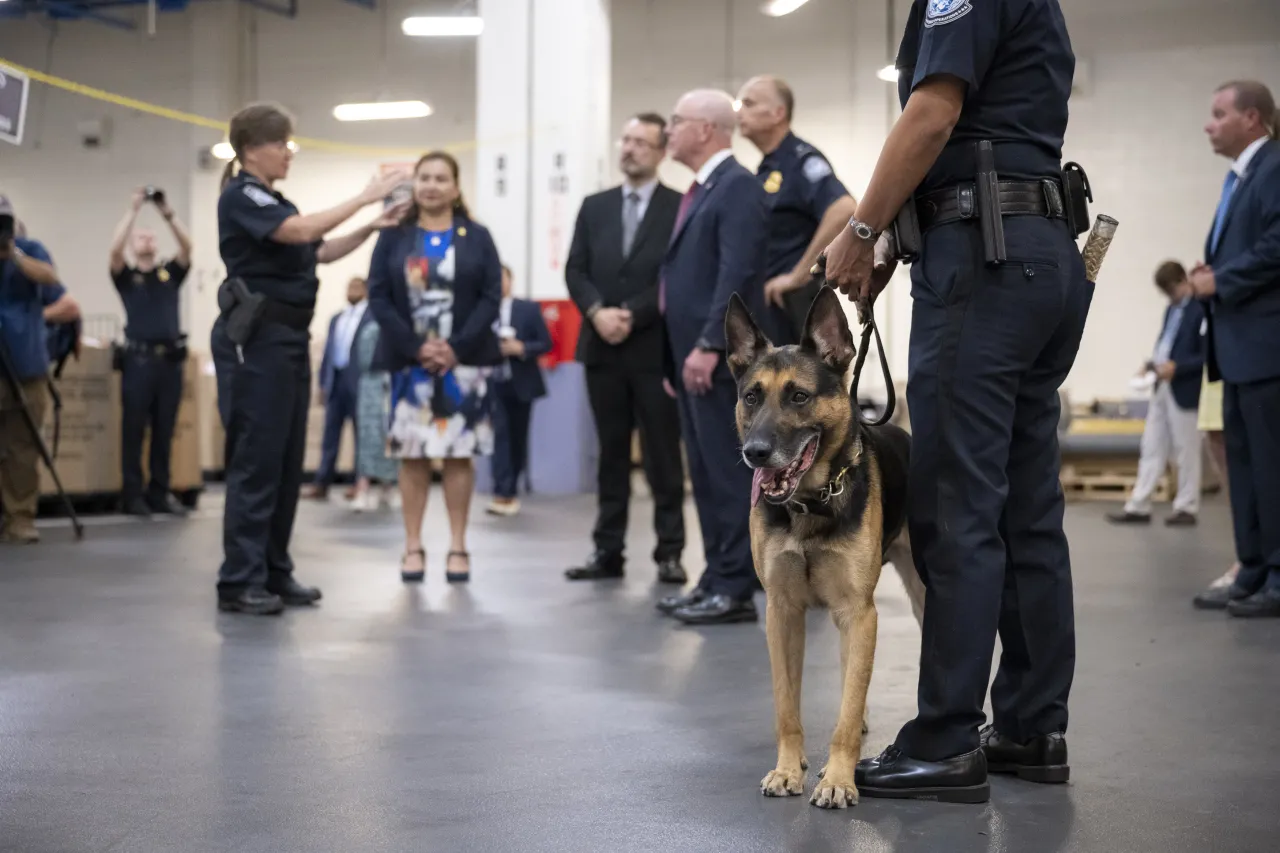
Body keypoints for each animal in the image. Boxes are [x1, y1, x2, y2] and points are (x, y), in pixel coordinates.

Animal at [727, 284, 926, 804]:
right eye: (752, 397)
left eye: (799, 396)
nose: (755, 453)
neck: (810, 505)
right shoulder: (783, 613)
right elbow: (787, 705)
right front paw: (787, 769)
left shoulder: (859, 612)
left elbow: (848, 708)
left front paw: (838, 778)